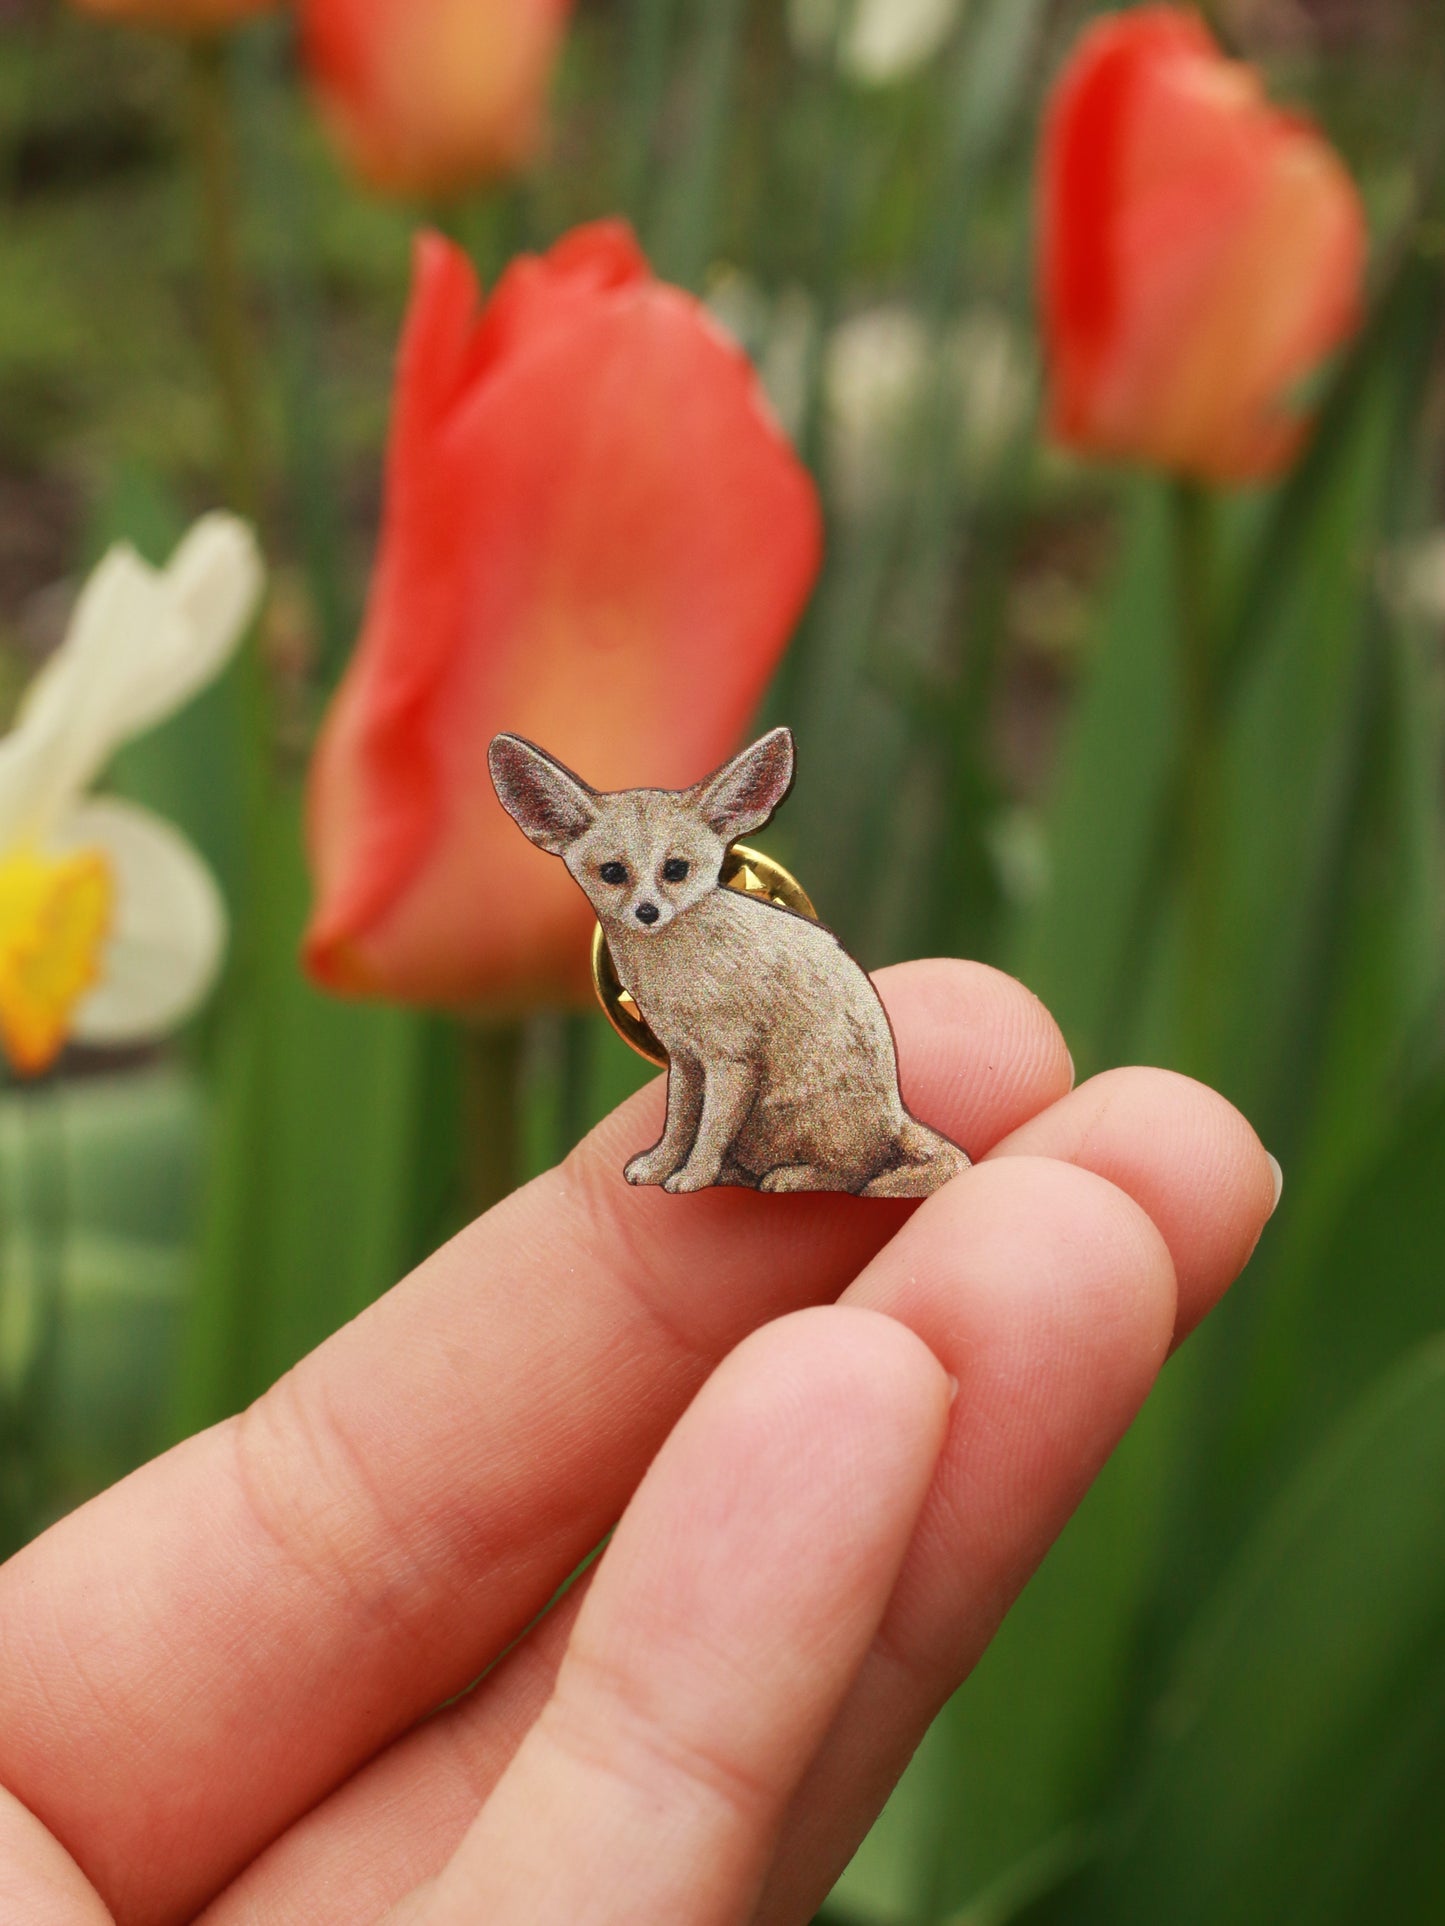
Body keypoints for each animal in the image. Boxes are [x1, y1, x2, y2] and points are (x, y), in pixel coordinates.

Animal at [488, 726, 971, 1198]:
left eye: (676, 869)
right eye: (612, 873)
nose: (647, 912)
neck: (671, 971)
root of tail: (896, 1117)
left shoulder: (732, 1061)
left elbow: (710, 1131)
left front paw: (693, 1176)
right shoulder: (685, 1059)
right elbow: (679, 1125)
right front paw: (659, 1165)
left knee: (853, 1175)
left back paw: (791, 1178)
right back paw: (737, 1175)